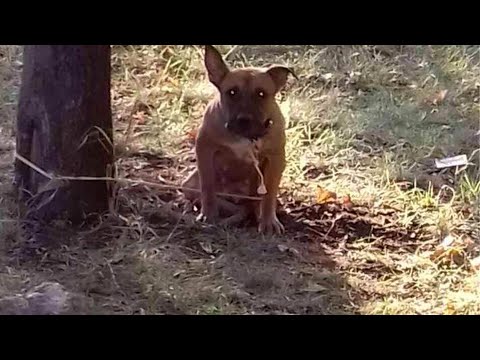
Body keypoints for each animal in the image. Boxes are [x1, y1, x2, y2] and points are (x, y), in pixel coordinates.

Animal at [184, 45, 296, 235]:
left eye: (261, 94)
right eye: (232, 92)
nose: (244, 119)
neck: (245, 137)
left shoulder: (276, 158)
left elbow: (269, 195)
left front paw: (268, 222)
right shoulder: (205, 149)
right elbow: (207, 186)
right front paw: (208, 214)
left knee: (255, 201)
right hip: (189, 183)